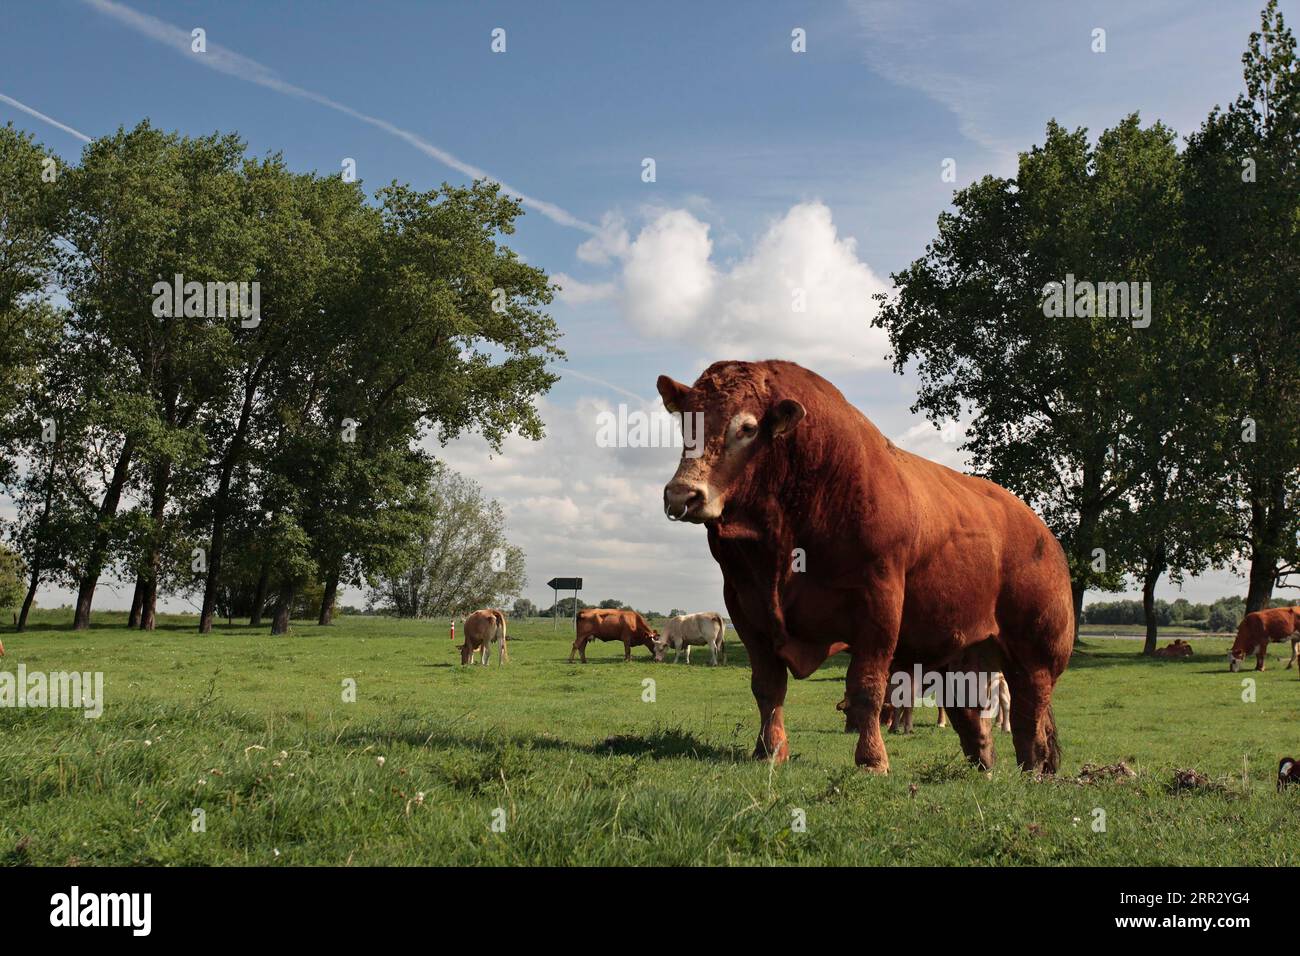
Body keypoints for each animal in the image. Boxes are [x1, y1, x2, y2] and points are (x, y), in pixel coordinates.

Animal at [655, 361, 1071, 775]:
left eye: (747, 428)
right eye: (686, 425)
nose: (682, 495)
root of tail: (1042, 532)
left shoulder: (879, 600)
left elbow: (867, 686)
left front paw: (871, 759)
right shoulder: (744, 604)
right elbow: (767, 686)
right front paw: (769, 751)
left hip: (1037, 652)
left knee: (1031, 712)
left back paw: (1035, 770)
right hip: (961, 654)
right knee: (971, 715)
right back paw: (984, 766)